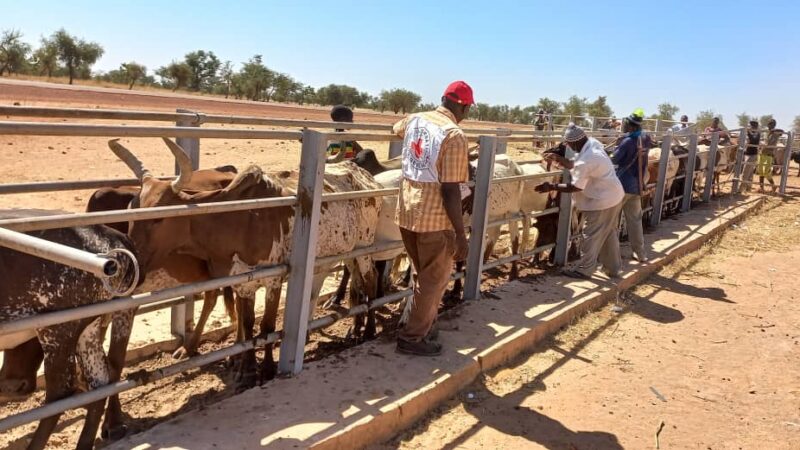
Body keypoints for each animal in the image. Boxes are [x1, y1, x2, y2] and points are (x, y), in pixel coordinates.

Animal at [0, 210, 138, 450]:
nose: (12, 387)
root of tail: (113, 238)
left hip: (58, 328)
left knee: (60, 391)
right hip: (88, 328)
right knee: (100, 380)